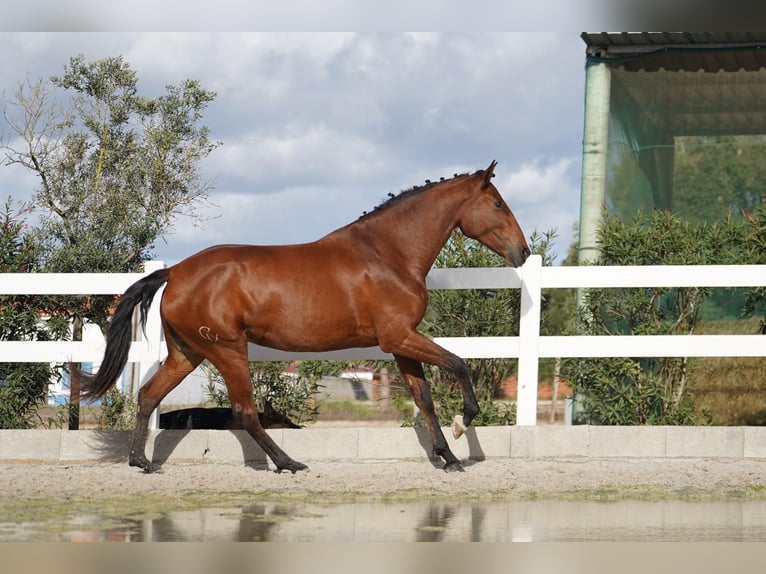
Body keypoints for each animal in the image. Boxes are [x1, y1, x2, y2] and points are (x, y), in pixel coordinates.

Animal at [79, 161, 536, 472]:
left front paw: (447, 457)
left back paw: (141, 462)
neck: (388, 254)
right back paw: (288, 462)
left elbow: (423, 399)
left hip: (187, 353)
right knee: (245, 412)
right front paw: (462, 424)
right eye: (497, 203)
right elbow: (459, 365)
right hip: (227, 349)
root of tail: (175, 272)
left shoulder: (402, 342)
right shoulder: (398, 337)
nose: (524, 251)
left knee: (148, 396)